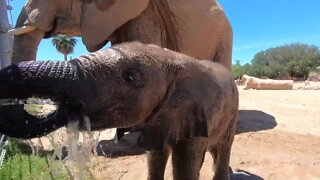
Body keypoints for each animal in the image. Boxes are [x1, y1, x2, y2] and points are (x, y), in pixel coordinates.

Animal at [0, 41, 238, 179]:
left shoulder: (195, 110)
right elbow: (155, 158)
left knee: (225, 143)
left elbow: (184, 166)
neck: (173, 58)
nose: (68, 108)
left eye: (130, 77)